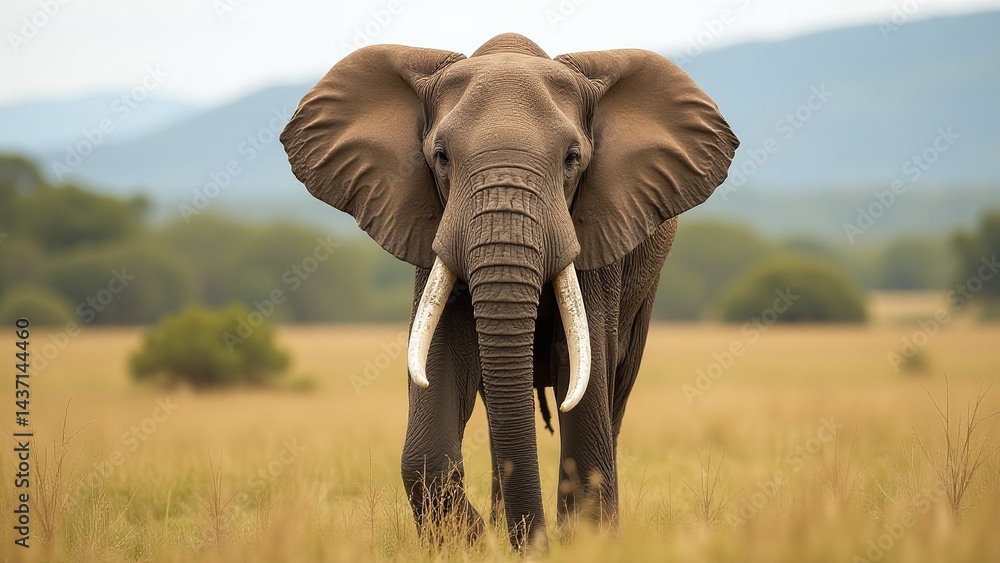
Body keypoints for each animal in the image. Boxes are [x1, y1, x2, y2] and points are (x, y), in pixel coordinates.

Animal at [280, 33, 737, 552]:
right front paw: (475, 545)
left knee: (614, 393)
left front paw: (585, 544)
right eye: (441, 157)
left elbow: (584, 379)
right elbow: (439, 370)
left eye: (572, 159)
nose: (533, 545)